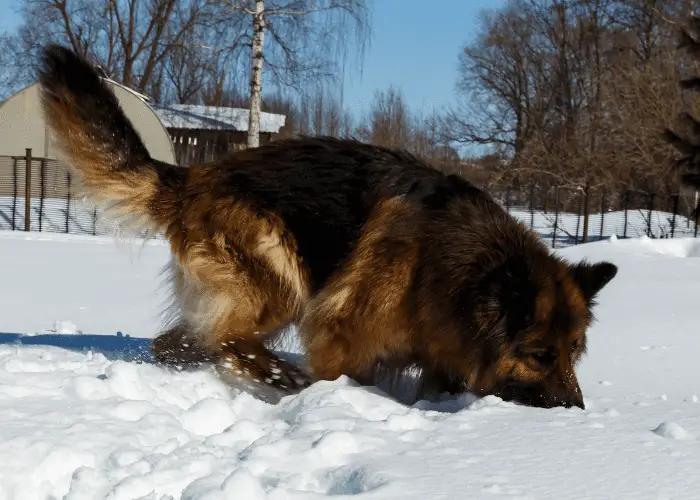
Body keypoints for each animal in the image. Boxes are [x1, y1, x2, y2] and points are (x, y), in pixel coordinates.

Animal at [38, 45, 616, 408]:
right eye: (541, 355)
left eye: (574, 353)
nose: (577, 410)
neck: (455, 269)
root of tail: (193, 175)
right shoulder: (340, 336)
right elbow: (347, 373)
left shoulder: (442, 356)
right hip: (279, 280)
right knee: (227, 338)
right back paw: (279, 376)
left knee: (180, 342)